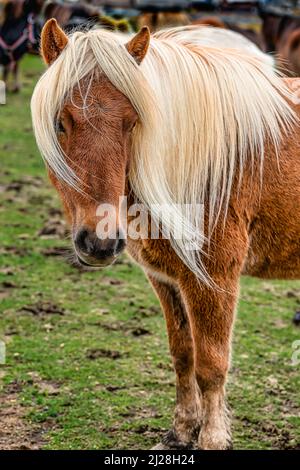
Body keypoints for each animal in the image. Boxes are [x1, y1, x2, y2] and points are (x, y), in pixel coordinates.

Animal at [31, 20, 300, 450]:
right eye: (61, 122)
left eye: (131, 123)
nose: (100, 241)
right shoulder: (168, 279)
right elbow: (183, 355)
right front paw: (181, 431)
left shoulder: (214, 280)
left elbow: (211, 365)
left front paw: (212, 438)